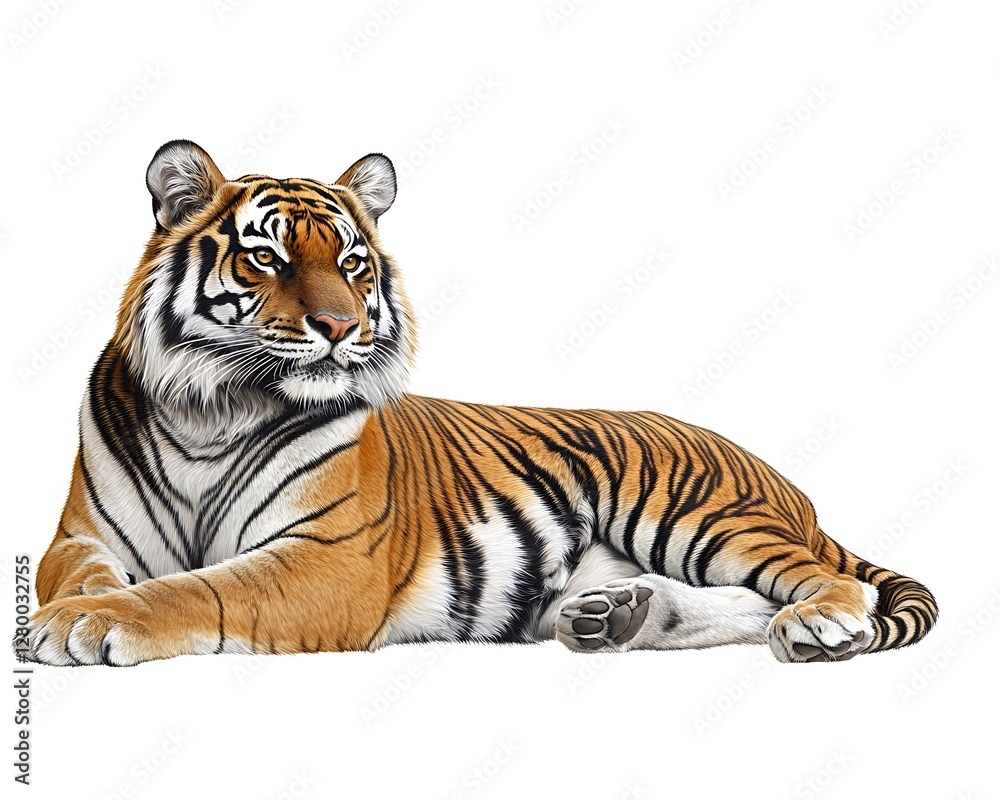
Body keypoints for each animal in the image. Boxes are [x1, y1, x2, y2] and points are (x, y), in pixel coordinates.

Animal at [22, 140, 938, 667]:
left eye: (351, 263)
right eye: (267, 258)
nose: (340, 326)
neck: (215, 413)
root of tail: (789, 487)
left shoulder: (328, 557)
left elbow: (197, 589)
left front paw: (85, 623)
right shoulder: (81, 537)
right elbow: (85, 575)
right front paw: (67, 611)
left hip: (697, 512)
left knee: (818, 582)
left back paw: (817, 625)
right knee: (752, 601)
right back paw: (621, 618)